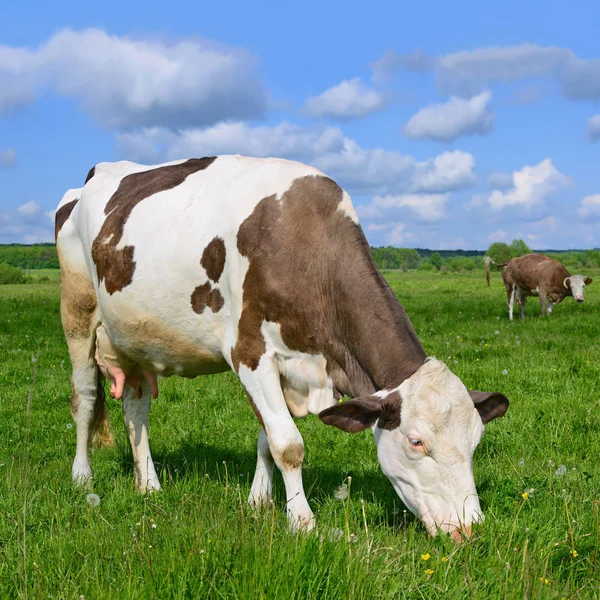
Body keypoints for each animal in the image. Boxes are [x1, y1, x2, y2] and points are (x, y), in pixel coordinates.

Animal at [56, 155, 508, 540]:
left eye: (476, 442)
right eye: (416, 442)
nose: (470, 527)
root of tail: (97, 173)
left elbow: (266, 437)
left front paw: (259, 502)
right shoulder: (250, 352)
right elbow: (288, 443)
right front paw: (302, 521)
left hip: (134, 339)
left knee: (136, 409)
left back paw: (149, 485)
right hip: (77, 313)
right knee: (85, 397)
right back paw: (81, 477)